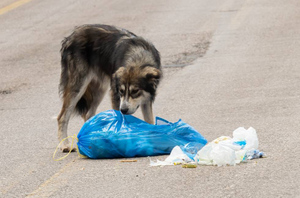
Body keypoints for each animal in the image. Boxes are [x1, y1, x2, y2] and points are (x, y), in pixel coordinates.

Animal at [57, 24, 163, 152]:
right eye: (121, 91)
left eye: (135, 91)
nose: (123, 110)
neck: (138, 57)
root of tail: (70, 37)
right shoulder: (115, 96)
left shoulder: (146, 100)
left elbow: (150, 121)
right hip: (78, 87)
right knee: (62, 117)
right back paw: (65, 145)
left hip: (100, 89)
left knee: (88, 114)